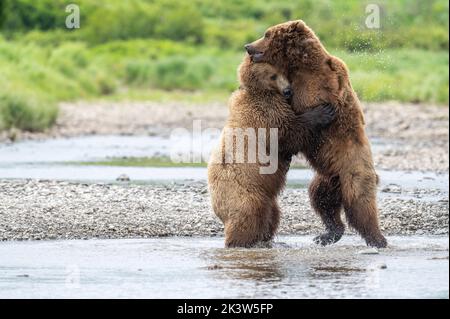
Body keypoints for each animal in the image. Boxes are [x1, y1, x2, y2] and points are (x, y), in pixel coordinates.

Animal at [207, 56, 334, 249]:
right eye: (273, 75)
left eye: (285, 71)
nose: (288, 90)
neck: (264, 92)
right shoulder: (264, 114)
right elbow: (289, 133)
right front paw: (322, 112)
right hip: (243, 192)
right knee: (249, 214)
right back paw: (240, 242)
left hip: (266, 197)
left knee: (271, 214)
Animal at [244, 20, 388, 250]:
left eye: (266, 34)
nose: (248, 46)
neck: (298, 64)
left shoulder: (317, 83)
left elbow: (305, 107)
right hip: (327, 180)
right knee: (322, 201)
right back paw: (327, 234)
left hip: (354, 173)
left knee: (361, 206)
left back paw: (378, 239)